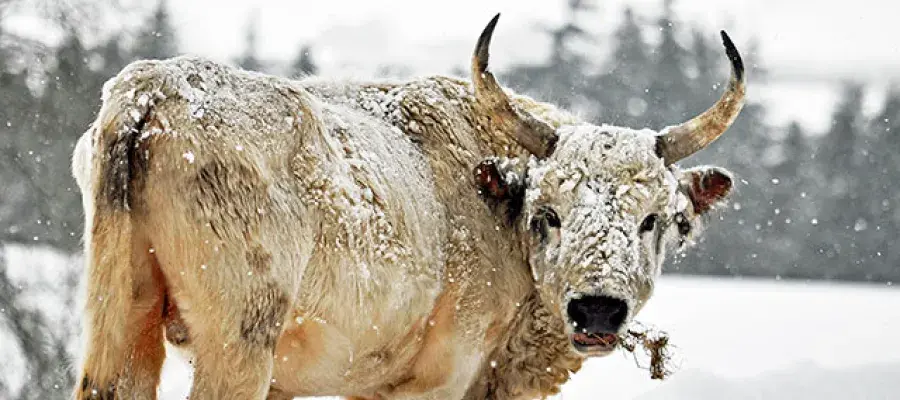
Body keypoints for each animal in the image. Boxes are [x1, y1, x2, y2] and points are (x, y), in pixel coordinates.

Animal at [71, 13, 745, 400]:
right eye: (547, 214)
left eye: (652, 218)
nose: (598, 310)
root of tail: (154, 88)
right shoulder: (434, 381)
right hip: (237, 340)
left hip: (123, 321)